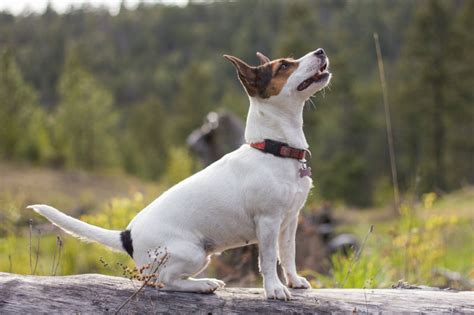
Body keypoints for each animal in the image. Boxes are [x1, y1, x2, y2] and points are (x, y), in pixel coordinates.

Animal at [27, 48, 332, 300]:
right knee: (164, 281)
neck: (273, 149)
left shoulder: (289, 221)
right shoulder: (268, 222)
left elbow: (288, 255)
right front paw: (274, 289)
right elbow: (269, 260)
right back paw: (203, 284)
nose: (320, 51)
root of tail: (127, 235)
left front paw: (294, 281)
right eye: (284, 66)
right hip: (193, 253)